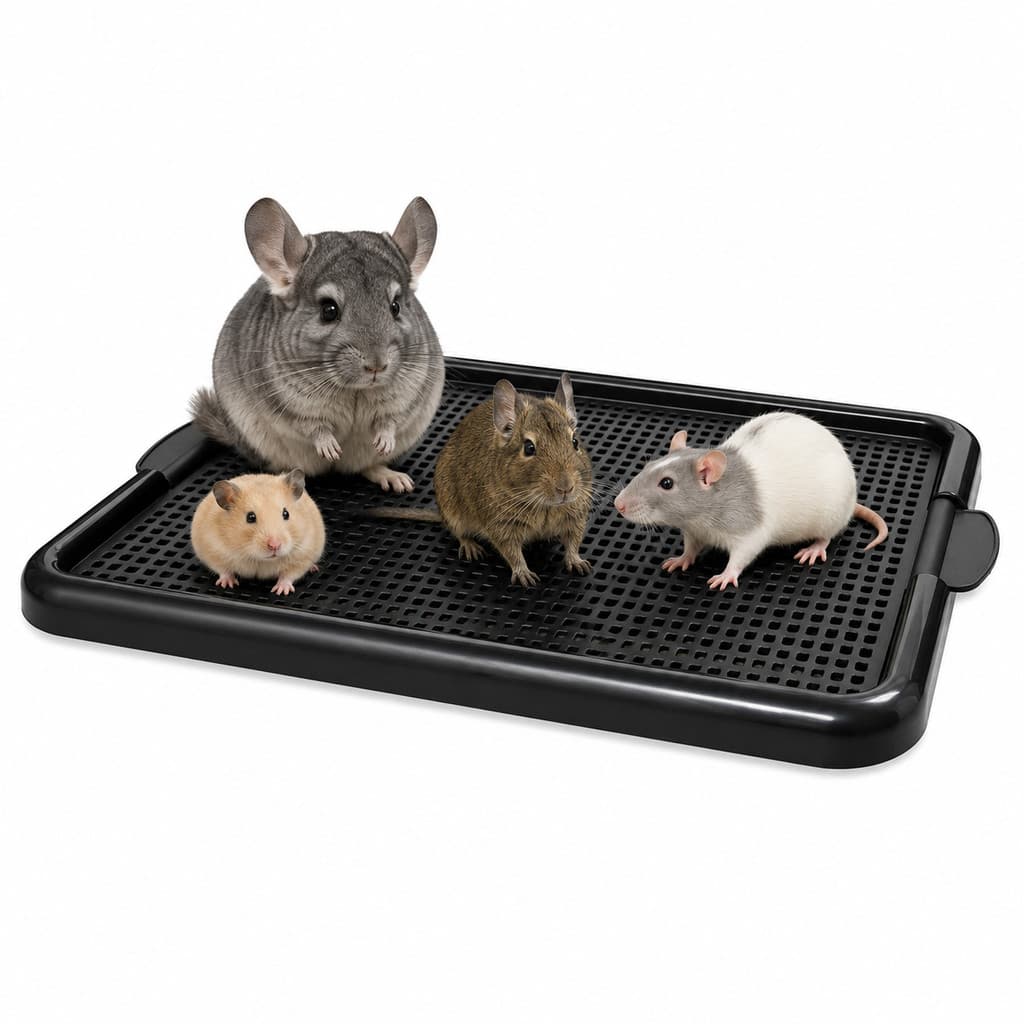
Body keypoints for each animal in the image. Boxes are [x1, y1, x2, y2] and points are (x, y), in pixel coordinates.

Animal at [190, 197, 444, 492]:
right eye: (329, 310)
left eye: (395, 306)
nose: (377, 366)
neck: (355, 391)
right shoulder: (293, 406)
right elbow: (315, 427)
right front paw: (331, 449)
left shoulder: (405, 397)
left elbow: (389, 421)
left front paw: (384, 442)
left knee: (368, 467)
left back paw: (393, 478)